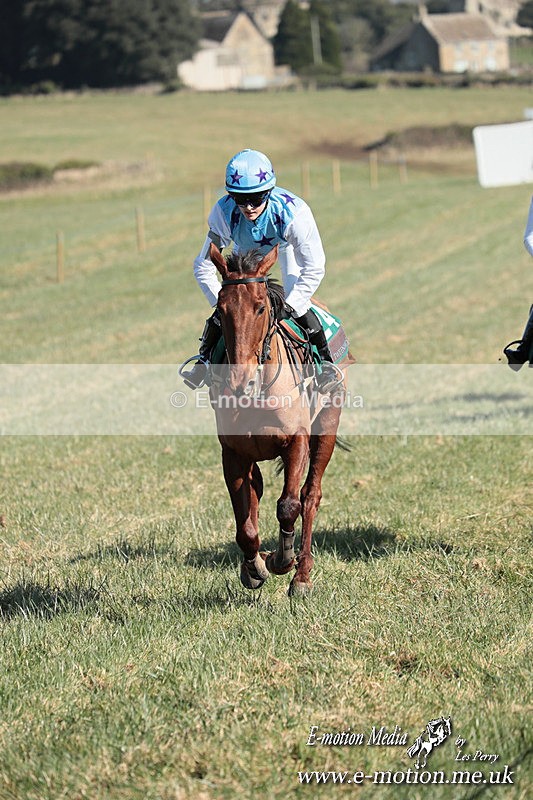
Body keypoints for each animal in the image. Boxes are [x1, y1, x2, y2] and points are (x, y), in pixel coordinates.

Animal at [207, 242, 350, 597]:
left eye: (260, 309)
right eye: (221, 310)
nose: (240, 380)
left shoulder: (296, 441)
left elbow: (289, 505)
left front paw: (282, 560)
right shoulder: (233, 453)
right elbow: (245, 520)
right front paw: (254, 568)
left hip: (326, 427)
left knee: (310, 495)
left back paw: (302, 574)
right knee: (257, 494)